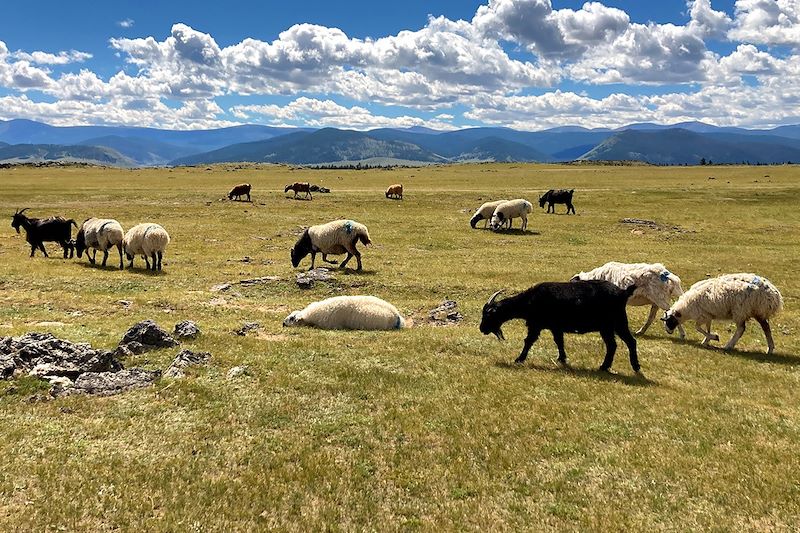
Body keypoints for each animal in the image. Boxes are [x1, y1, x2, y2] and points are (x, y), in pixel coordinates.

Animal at [478, 280, 640, 372]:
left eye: (488, 315)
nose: (482, 329)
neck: (530, 300)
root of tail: (623, 293)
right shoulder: (555, 327)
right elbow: (559, 341)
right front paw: (562, 359)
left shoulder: (536, 325)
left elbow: (529, 341)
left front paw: (519, 359)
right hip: (608, 327)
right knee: (613, 345)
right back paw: (605, 367)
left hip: (616, 323)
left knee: (629, 342)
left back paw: (635, 367)